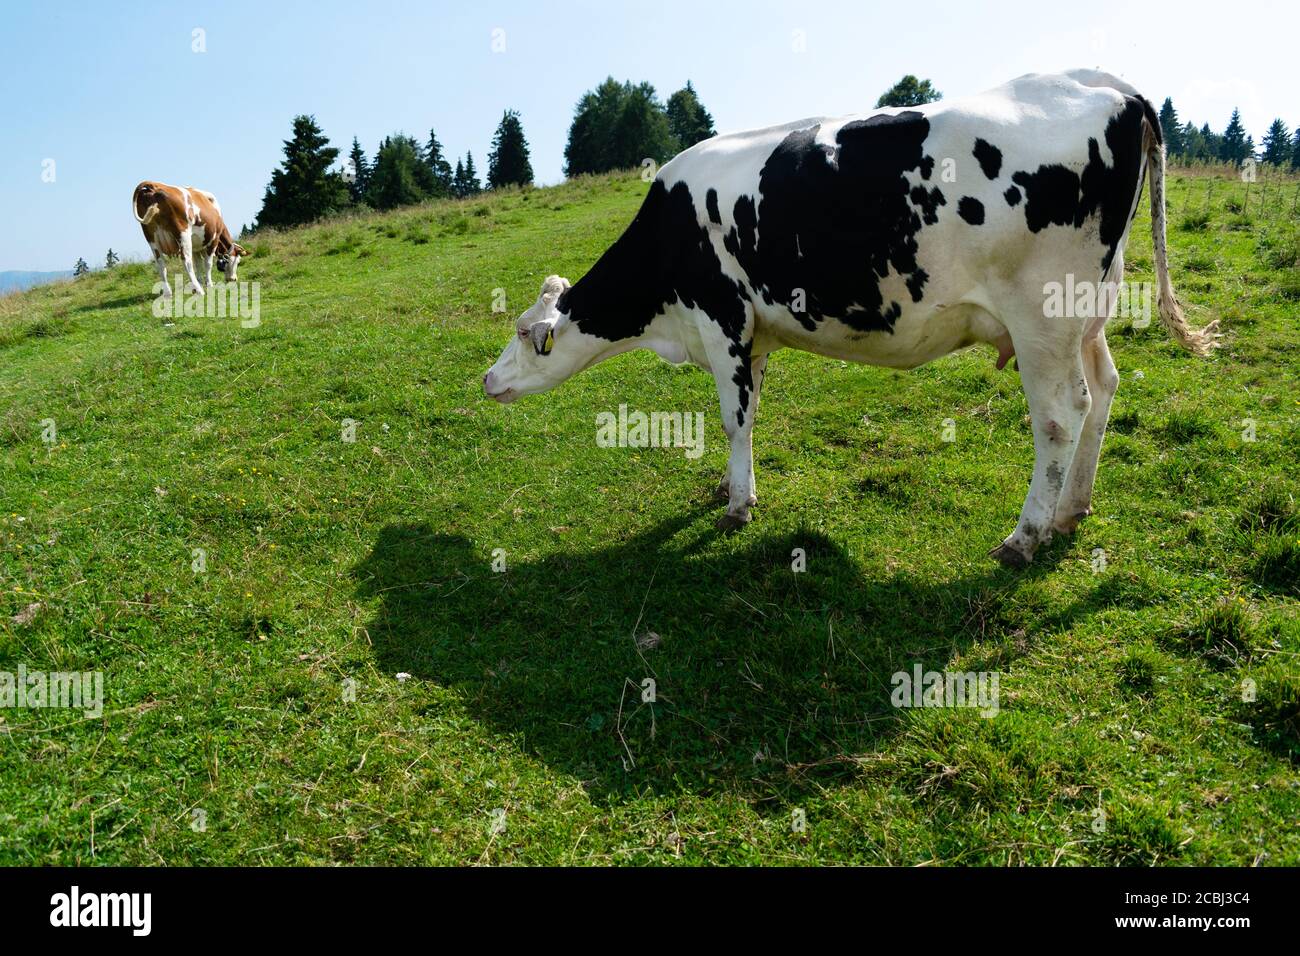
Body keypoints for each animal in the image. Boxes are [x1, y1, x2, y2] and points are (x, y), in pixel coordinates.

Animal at [483, 70, 1219, 567]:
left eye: (525, 335)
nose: (488, 381)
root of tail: (1106, 84)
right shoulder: (754, 335)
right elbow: (749, 414)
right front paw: (730, 483)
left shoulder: (722, 320)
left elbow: (732, 417)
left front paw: (737, 506)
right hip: (1086, 313)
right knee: (1104, 391)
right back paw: (1072, 510)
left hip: (1042, 319)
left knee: (1062, 415)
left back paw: (1025, 535)